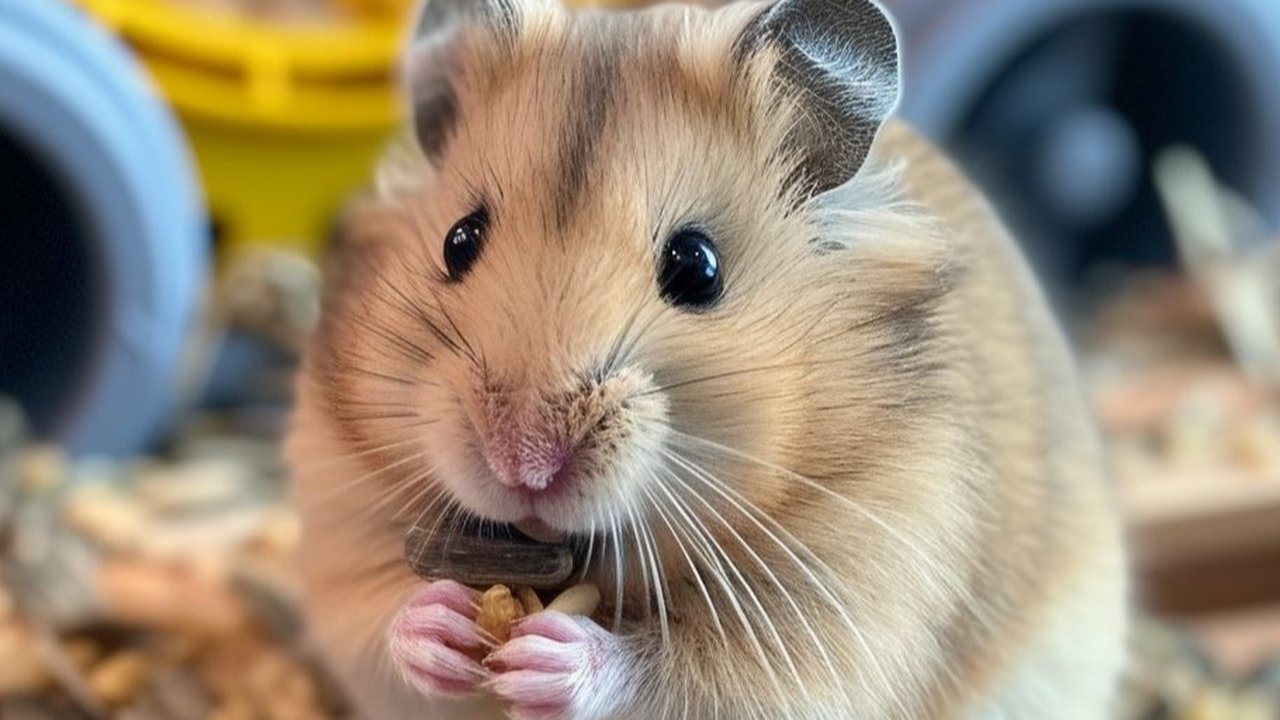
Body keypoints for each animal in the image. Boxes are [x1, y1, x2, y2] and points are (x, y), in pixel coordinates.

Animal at [284, 0, 1129, 718]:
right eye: (458, 240)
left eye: (697, 267)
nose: (523, 464)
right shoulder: (340, 513)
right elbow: (377, 619)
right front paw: (444, 625)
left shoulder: (835, 609)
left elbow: (686, 676)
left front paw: (550, 658)